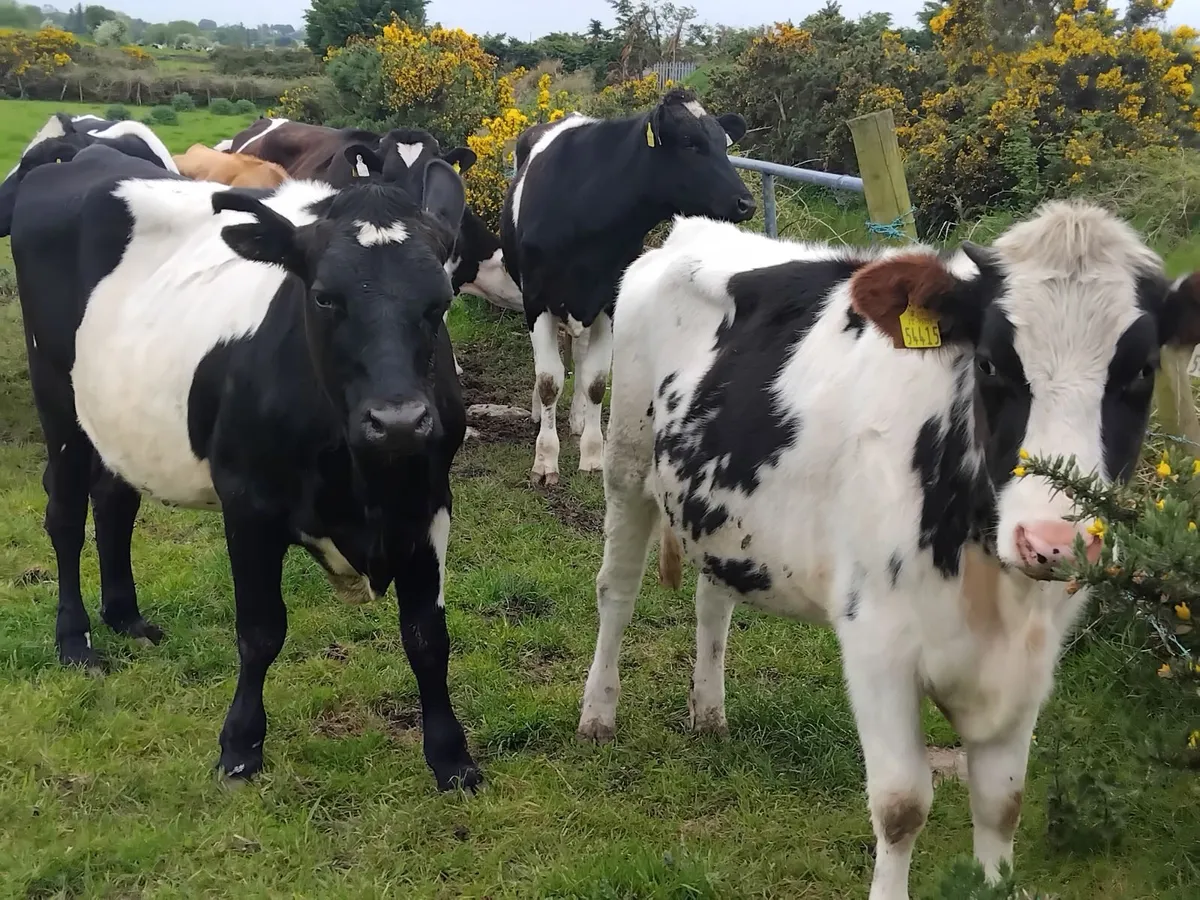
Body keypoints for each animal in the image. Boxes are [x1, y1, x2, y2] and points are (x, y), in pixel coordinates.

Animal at [9, 143, 482, 792]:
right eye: (324, 296)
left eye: (439, 300)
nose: (400, 421)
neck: (364, 485)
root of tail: (86, 153)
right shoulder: (248, 502)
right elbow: (261, 632)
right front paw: (240, 744)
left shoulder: (430, 501)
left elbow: (428, 635)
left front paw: (451, 756)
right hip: (56, 398)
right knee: (62, 515)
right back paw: (75, 641)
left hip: (119, 418)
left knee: (114, 502)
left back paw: (126, 617)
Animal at [500, 88, 756, 489]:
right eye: (689, 142)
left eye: (724, 144)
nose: (746, 203)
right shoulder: (536, 299)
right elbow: (549, 380)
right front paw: (545, 460)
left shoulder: (609, 301)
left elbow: (595, 381)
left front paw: (592, 454)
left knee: (580, 354)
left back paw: (576, 418)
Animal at [576, 201, 1199, 899]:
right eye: (990, 363)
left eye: (1141, 372)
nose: (1051, 541)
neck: (989, 589)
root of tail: (689, 229)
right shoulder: (876, 642)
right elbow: (902, 805)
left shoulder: (1032, 660)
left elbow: (1001, 803)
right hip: (627, 462)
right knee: (616, 591)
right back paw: (598, 713)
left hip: (724, 512)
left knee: (714, 604)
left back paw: (708, 713)